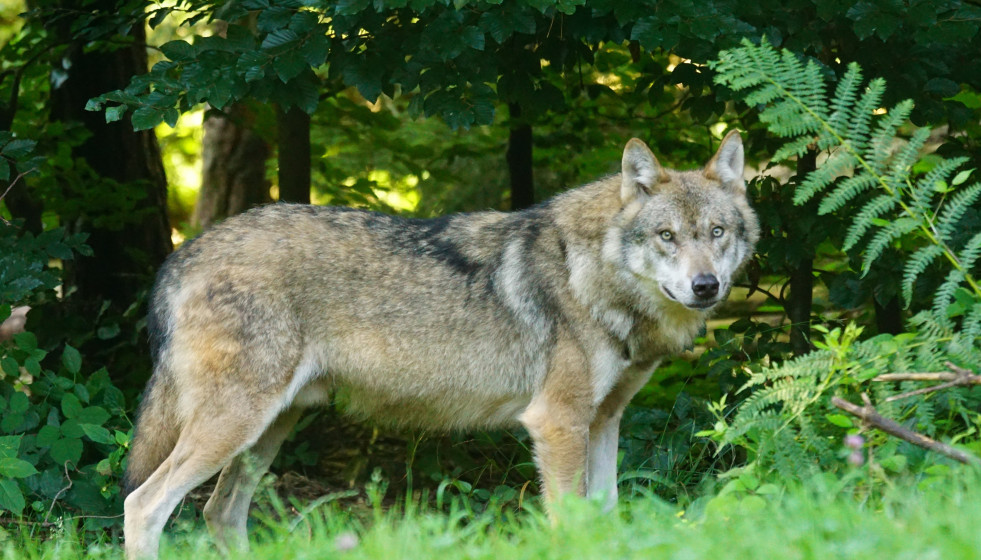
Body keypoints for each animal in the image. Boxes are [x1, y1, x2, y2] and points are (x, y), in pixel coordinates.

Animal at [122, 131, 758, 559]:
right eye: (666, 236)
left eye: (717, 233)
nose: (706, 286)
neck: (593, 273)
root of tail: (182, 254)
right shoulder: (557, 423)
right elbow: (570, 524)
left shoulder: (603, 422)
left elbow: (606, 518)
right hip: (234, 427)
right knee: (143, 505)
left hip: (266, 432)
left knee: (220, 513)